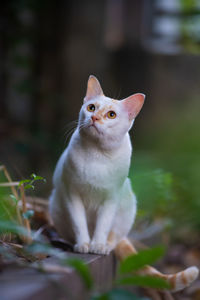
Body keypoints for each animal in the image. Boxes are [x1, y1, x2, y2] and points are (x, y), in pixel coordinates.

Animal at [49, 76, 198, 292]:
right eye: (91, 107)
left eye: (111, 115)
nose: (95, 118)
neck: (97, 155)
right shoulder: (72, 194)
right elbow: (79, 223)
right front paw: (83, 244)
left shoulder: (111, 198)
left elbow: (103, 225)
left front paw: (98, 245)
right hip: (56, 206)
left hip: (128, 204)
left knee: (116, 236)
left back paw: (106, 245)